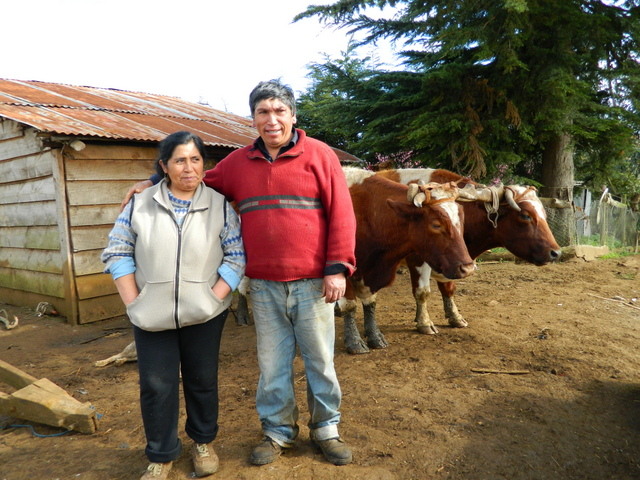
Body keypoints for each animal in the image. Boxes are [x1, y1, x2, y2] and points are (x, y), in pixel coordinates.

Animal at [356, 167, 560, 336]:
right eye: (525, 215)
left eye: (544, 214)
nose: (556, 253)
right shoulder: (418, 259)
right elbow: (422, 292)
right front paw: (424, 322)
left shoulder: (454, 260)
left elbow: (448, 288)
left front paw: (455, 317)